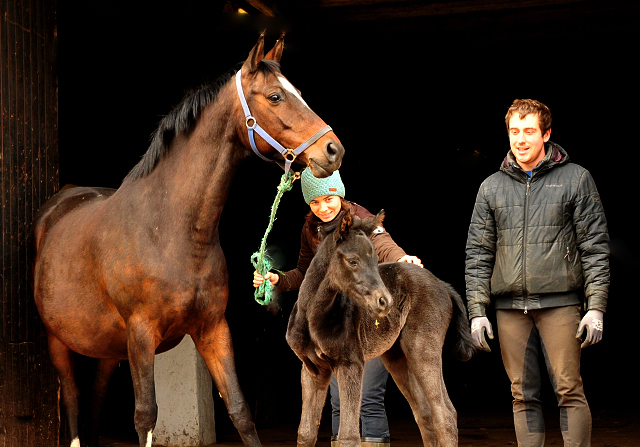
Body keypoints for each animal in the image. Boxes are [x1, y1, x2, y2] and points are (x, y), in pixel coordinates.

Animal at [32, 32, 342, 447]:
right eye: (276, 96)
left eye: (300, 93)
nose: (333, 150)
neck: (171, 231)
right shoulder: (141, 335)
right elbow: (145, 416)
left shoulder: (213, 329)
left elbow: (240, 411)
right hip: (59, 342)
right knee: (72, 402)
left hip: (107, 349)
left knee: (95, 402)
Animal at [284, 211, 476, 447]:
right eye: (352, 261)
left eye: (376, 260)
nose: (385, 302)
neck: (313, 316)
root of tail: (443, 285)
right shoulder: (313, 368)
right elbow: (306, 433)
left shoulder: (350, 364)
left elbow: (349, 436)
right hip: (397, 357)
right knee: (424, 413)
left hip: (422, 349)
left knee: (444, 413)